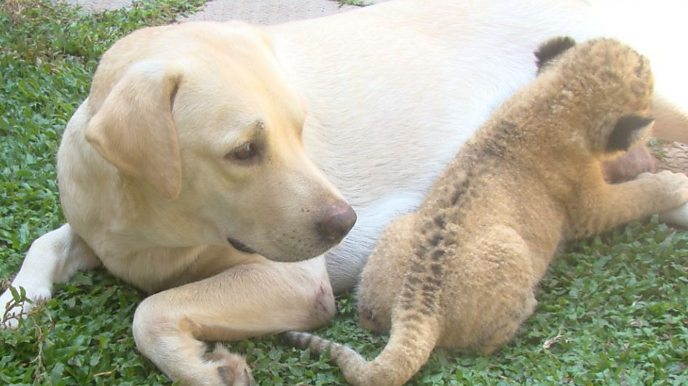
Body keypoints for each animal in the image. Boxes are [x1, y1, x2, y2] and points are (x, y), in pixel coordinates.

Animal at [1, 0, 688, 384]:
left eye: (300, 128)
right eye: (243, 151)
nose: (346, 224)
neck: (157, 222)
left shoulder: (291, 281)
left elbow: (150, 312)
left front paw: (204, 369)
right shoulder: (99, 225)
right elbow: (48, 241)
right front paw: (18, 301)